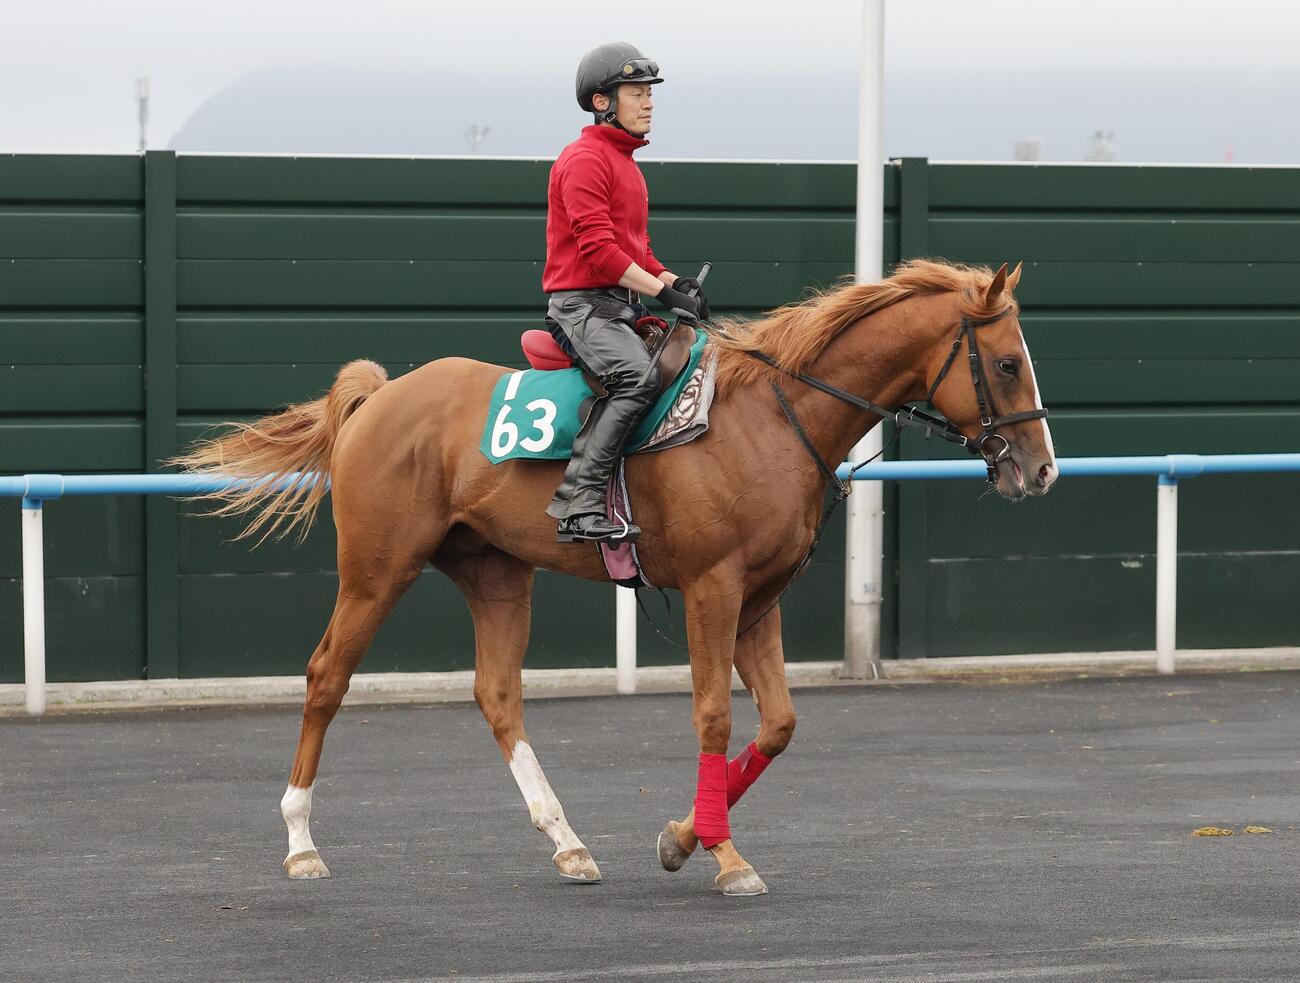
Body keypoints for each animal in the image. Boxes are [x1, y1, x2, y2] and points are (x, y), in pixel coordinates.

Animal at [172, 259, 1058, 897]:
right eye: (1008, 363)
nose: (1041, 469)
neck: (770, 414)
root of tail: (382, 395)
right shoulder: (712, 589)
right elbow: (713, 717)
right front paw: (724, 856)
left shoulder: (759, 602)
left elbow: (777, 724)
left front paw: (683, 836)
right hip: (375, 570)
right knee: (326, 677)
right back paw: (300, 842)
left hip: (496, 575)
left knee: (498, 694)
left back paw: (566, 841)